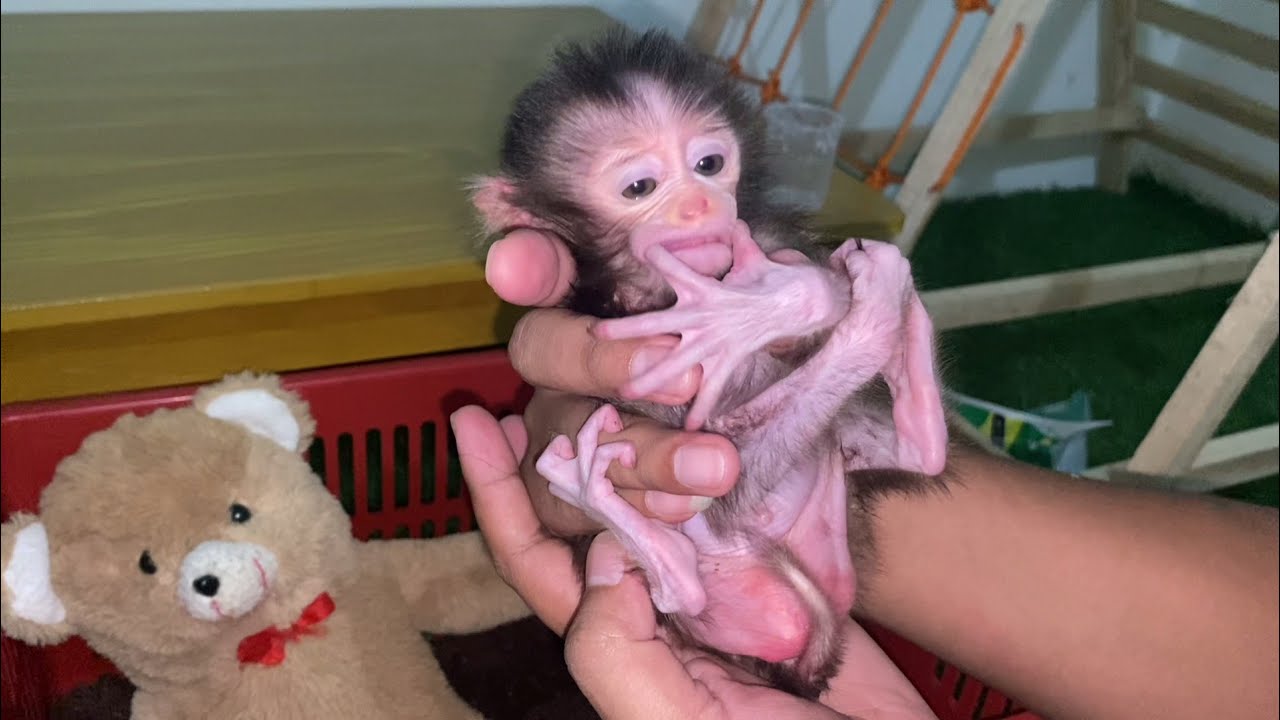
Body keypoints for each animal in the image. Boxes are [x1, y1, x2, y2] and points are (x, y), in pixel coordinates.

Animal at [469, 27, 949, 700]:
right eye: (640, 188)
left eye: (709, 165)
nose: (700, 205)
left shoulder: (766, 235)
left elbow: (819, 284)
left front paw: (741, 313)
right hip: (726, 539)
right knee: (691, 582)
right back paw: (595, 495)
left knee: (905, 451)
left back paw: (899, 310)